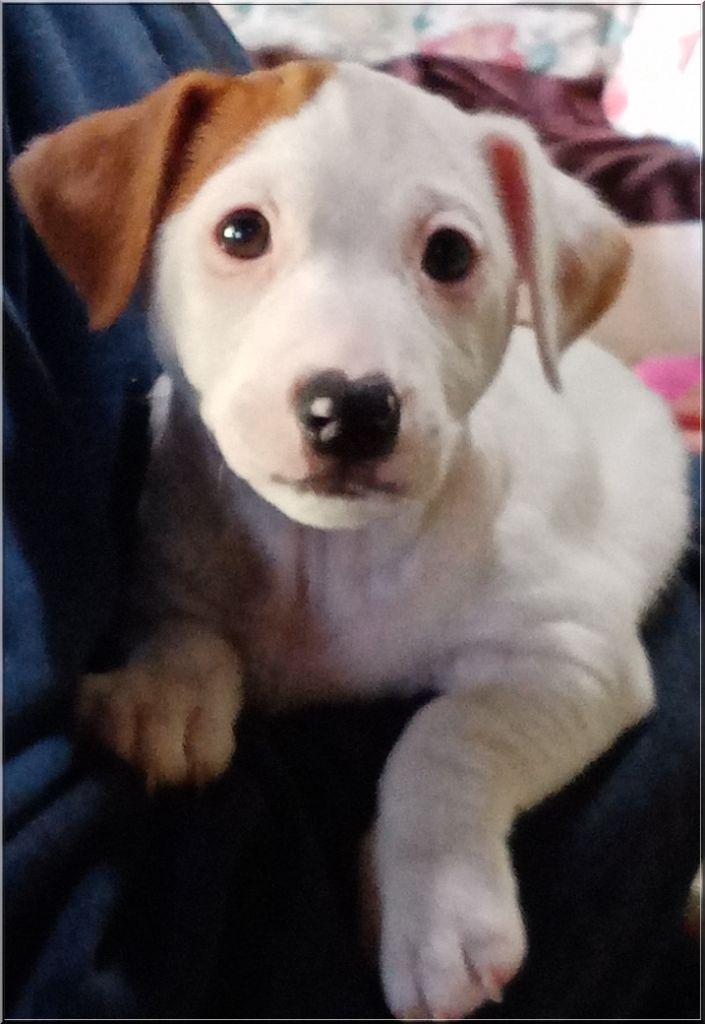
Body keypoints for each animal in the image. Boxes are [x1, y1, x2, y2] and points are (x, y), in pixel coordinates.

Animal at [10, 61, 689, 1020]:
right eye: (241, 232)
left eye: (450, 255)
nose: (353, 409)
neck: (326, 559)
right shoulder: (171, 565)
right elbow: (183, 630)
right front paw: (166, 694)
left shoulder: (572, 657)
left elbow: (443, 736)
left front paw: (437, 913)